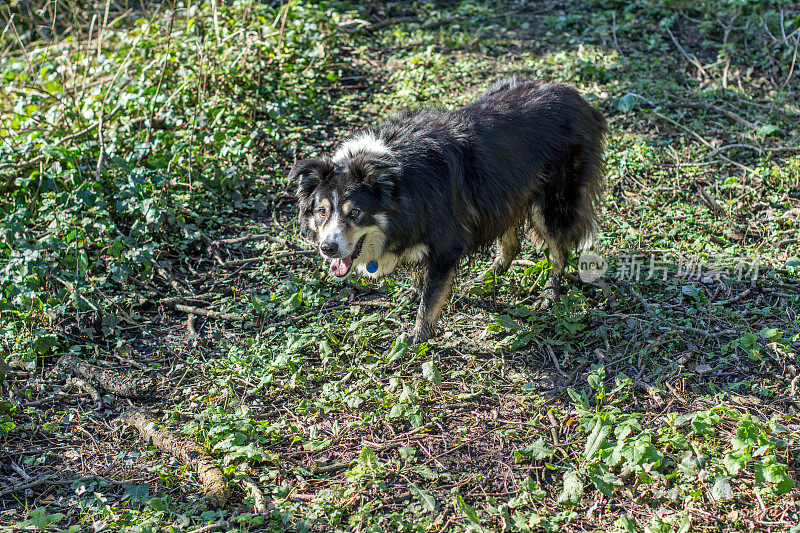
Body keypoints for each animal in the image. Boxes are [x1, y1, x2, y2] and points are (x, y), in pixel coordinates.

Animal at [292, 78, 608, 344]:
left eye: (356, 212)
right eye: (322, 212)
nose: (327, 248)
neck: (396, 182)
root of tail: (578, 98)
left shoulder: (446, 238)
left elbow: (431, 297)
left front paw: (417, 337)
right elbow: (420, 273)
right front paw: (413, 290)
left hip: (552, 200)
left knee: (559, 249)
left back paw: (549, 294)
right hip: (504, 194)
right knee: (511, 243)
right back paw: (485, 280)